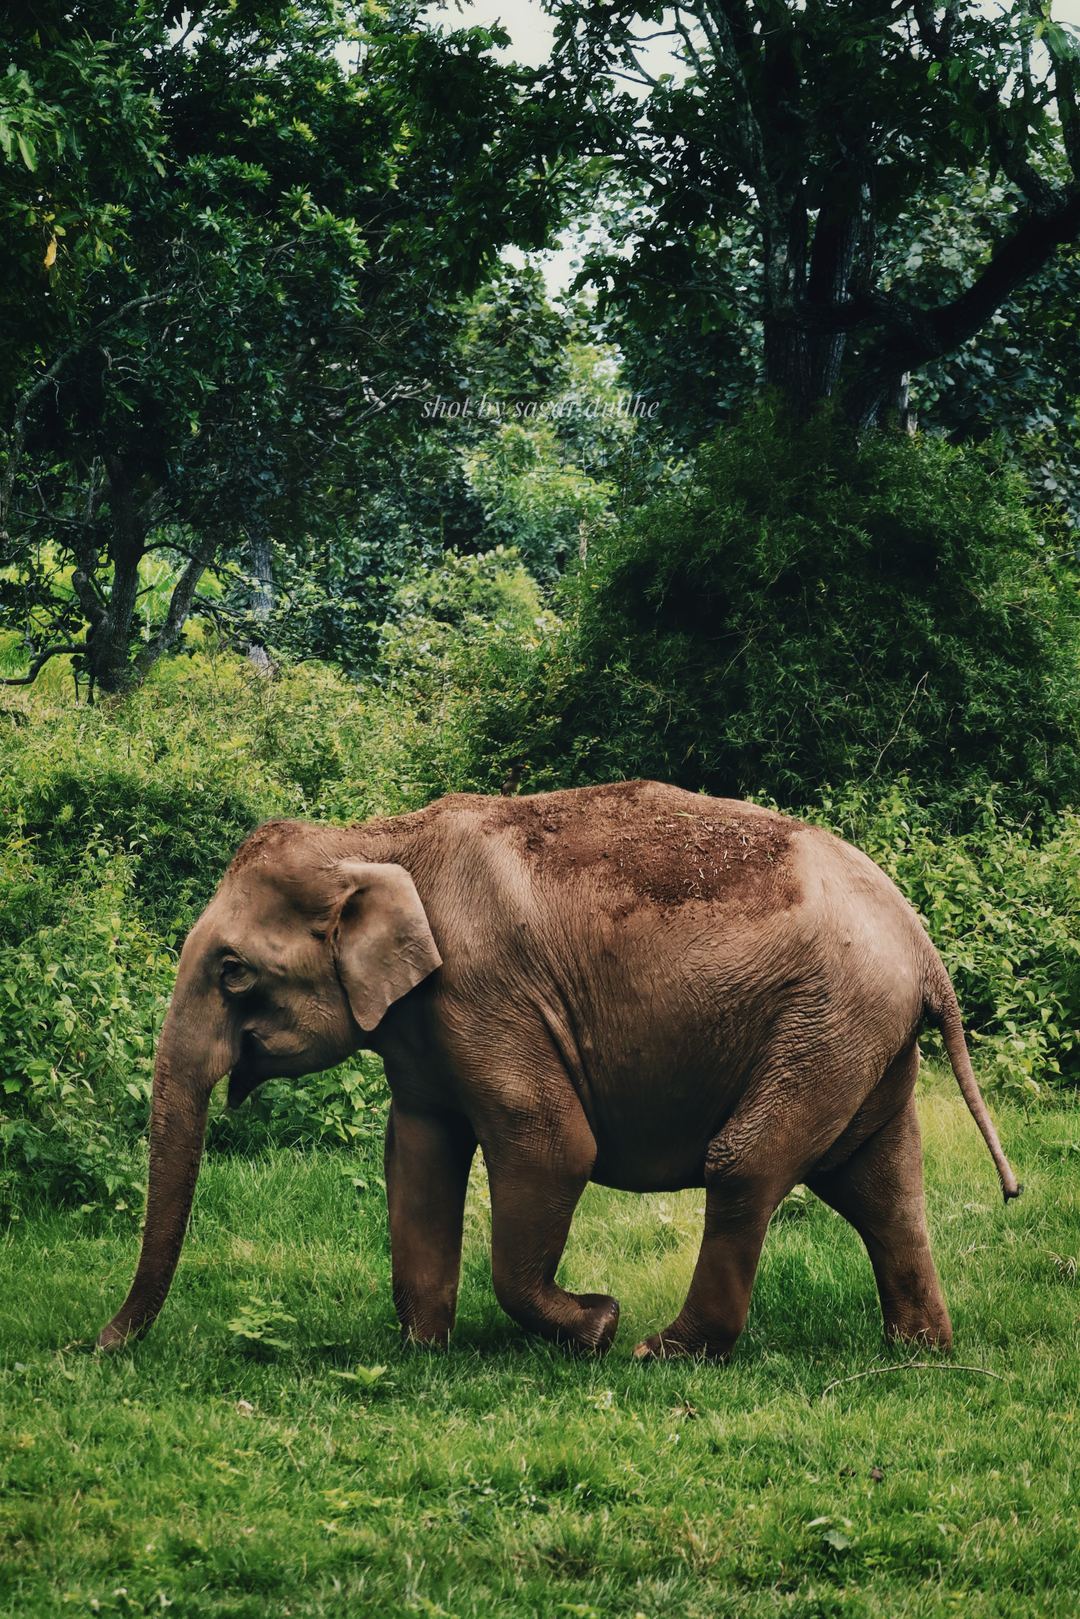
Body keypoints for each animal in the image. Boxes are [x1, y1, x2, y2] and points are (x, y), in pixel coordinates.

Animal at [97, 780, 1020, 1361]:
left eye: (232, 971)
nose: (99, 1345)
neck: (374, 839)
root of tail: (925, 947)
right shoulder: (424, 1031)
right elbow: (417, 1157)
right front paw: (421, 1348)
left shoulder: (486, 994)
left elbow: (551, 1145)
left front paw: (596, 1325)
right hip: (860, 1039)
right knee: (880, 1183)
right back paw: (918, 1352)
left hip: (827, 1021)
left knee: (748, 1164)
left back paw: (663, 1351)